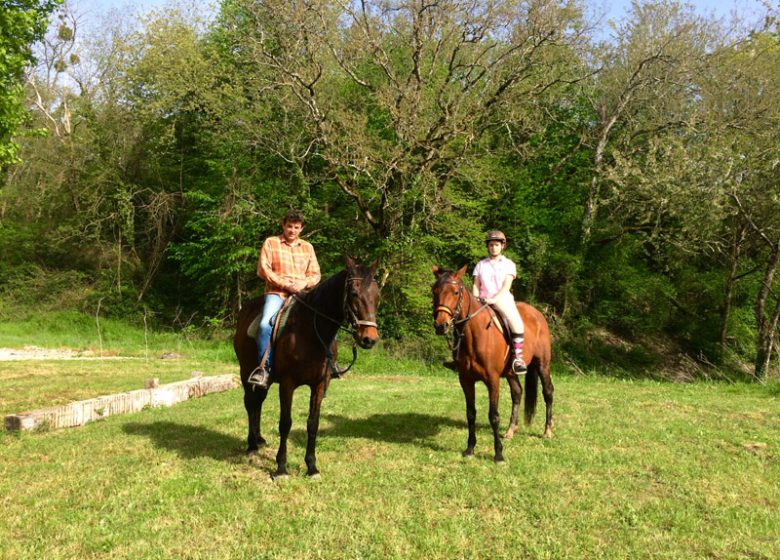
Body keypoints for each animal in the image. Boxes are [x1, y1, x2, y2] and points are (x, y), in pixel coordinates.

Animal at [233, 258, 380, 476]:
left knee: (258, 402)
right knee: (251, 404)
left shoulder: (319, 384)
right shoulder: (287, 384)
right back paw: (251, 446)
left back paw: (258, 439)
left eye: (377, 296)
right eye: (354, 293)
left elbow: (313, 423)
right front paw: (281, 468)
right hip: (245, 372)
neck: (310, 331)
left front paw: (311, 466)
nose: (369, 339)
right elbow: (285, 423)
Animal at [432, 264, 556, 462]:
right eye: (434, 291)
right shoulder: (465, 380)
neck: (475, 335)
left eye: (456, 292)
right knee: (517, 393)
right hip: (511, 373)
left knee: (548, 392)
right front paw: (469, 449)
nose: (440, 325)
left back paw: (547, 431)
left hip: (543, 365)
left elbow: (494, 415)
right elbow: (471, 413)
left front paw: (498, 454)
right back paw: (511, 431)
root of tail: (537, 314)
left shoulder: (493, 380)